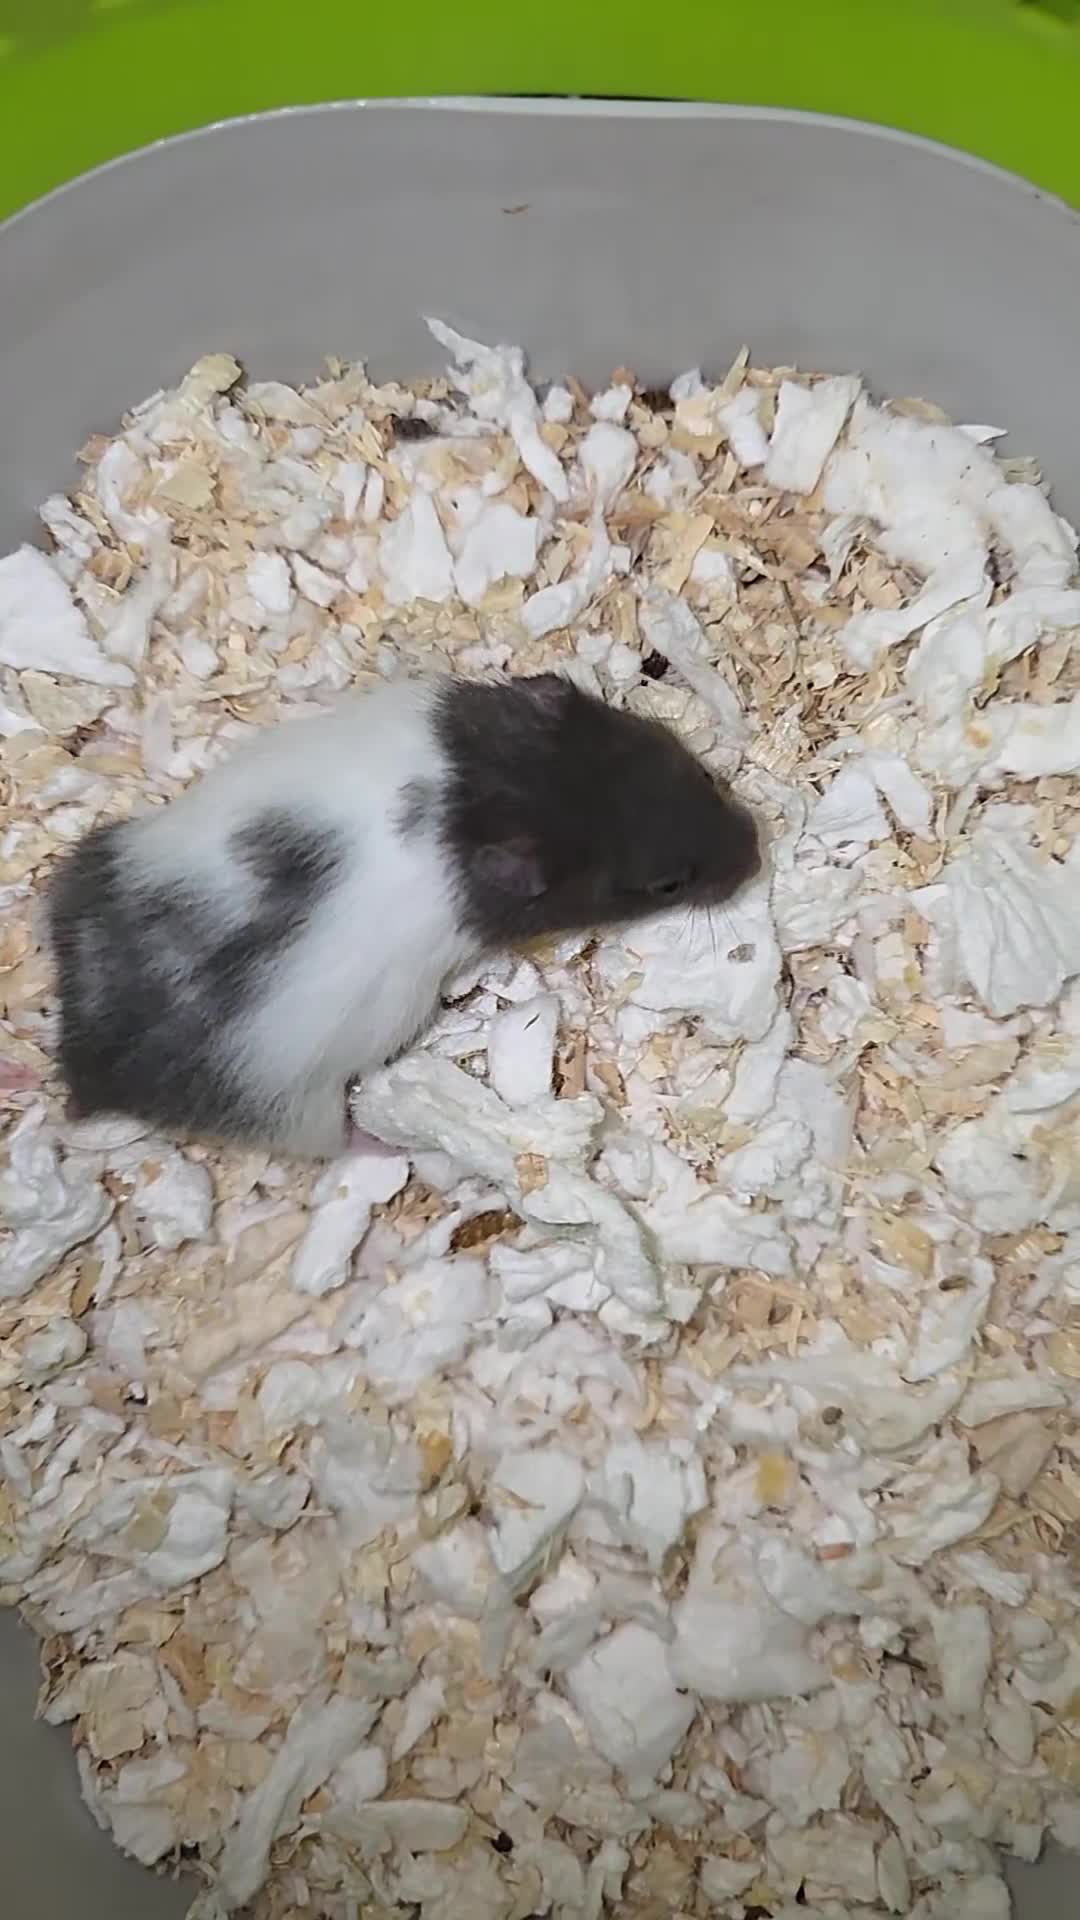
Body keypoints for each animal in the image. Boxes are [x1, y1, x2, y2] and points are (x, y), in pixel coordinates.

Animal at [48, 672, 761, 1159]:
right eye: (667, 885)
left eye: (701, 770)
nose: (756, 855)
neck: (489, 794)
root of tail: (89, 1070)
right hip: (295, 1109)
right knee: (335, 1145)